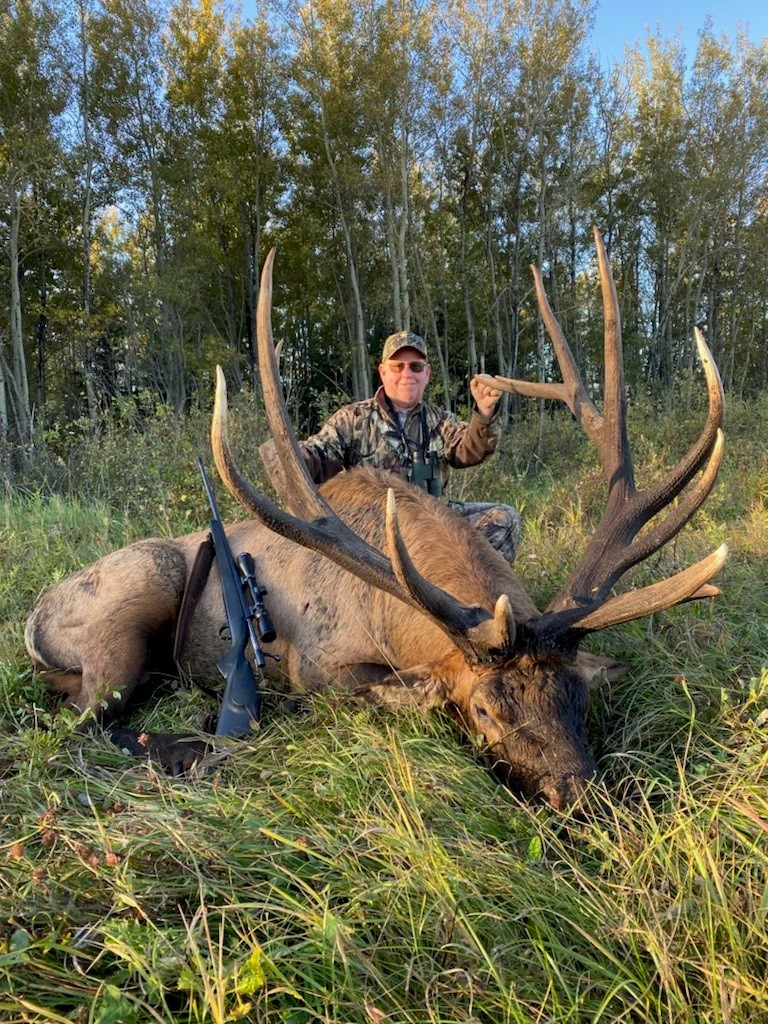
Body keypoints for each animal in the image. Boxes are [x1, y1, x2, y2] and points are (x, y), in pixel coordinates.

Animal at [24, 228, 726, 810]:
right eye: (483, 711)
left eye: (576, 696)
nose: (578, 798)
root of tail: (32, 620)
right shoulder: (317, 667)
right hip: (135, 603)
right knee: (81, 721)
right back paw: (185, 746)